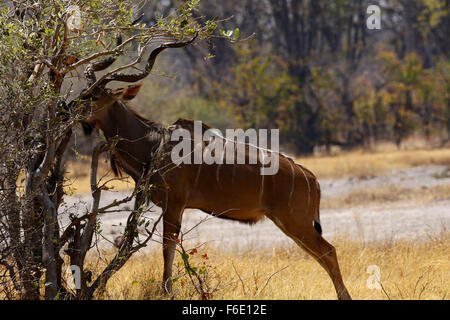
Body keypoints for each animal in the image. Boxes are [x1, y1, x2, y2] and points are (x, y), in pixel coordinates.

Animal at [74, 35, 352, 300]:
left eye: (95, 96)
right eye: (85, 91)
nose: (70, 109)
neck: (153, 144)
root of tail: (312, 178)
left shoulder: (174, 204)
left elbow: (167, 246)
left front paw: (166, 292)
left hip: (295, 221)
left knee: (328, 251)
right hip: (288, 223)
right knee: (321, 254)